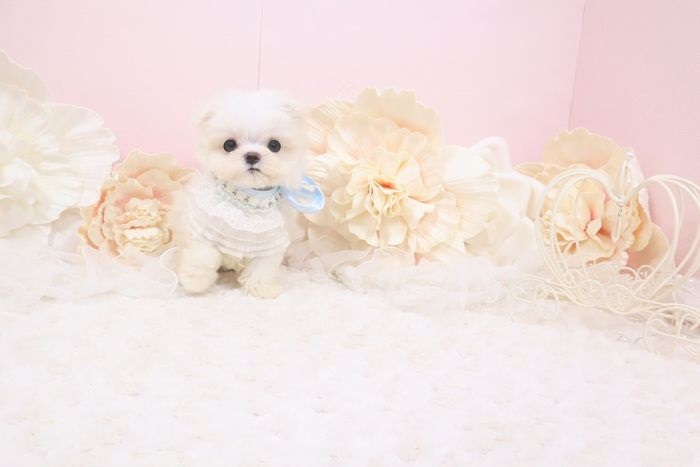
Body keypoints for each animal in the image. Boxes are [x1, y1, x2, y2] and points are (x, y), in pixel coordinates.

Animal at [175, 90, 311, 298]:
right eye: (229, 145)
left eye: (274, 145)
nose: (252, 155)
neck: (248, 199)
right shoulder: (205, 226)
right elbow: (204, 254)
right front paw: (195, 281)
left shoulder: (270, 240)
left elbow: (263, 266)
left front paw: (261, 288)